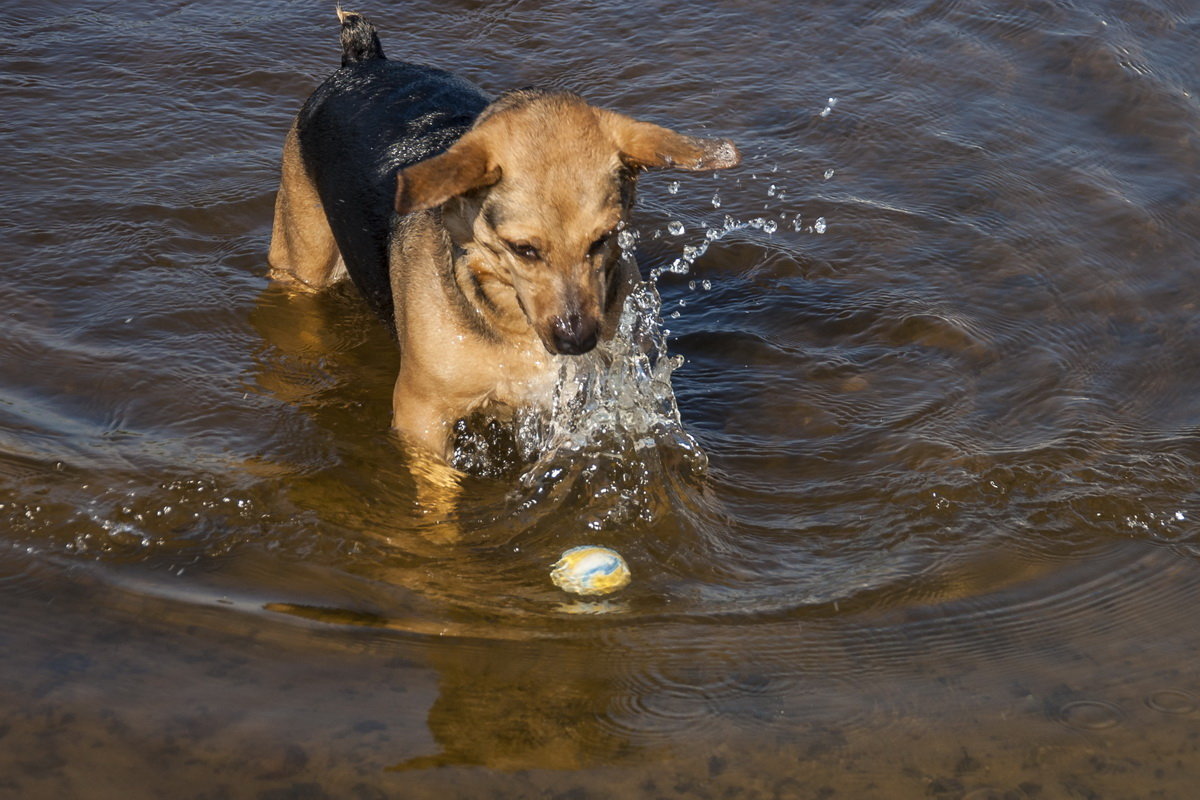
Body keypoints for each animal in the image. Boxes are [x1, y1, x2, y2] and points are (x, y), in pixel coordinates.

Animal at [270, 10, 739, 470]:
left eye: (604, 238)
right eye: (523, 250)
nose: (577, 342)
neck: (507, 315)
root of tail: (362, 59)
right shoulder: (420, 415)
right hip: (299, 257)